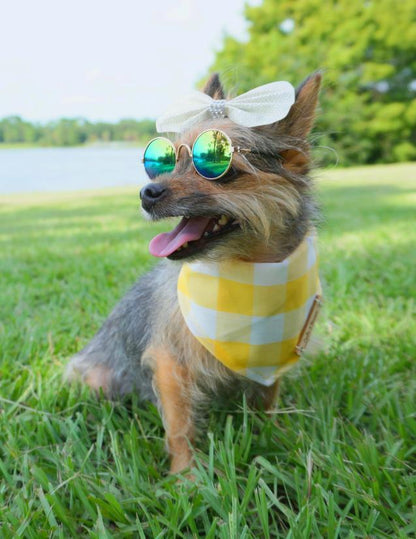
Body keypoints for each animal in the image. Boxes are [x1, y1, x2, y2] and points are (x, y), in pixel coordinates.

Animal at [67, 70, 322, 472]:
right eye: (163, 162)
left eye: (221, 169)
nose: (147, 192)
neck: (247, 273)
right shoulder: (170, 363)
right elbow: (179, 424)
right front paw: (186, 475)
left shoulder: (271, 358)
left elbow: (267, 400)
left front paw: (274, 435)